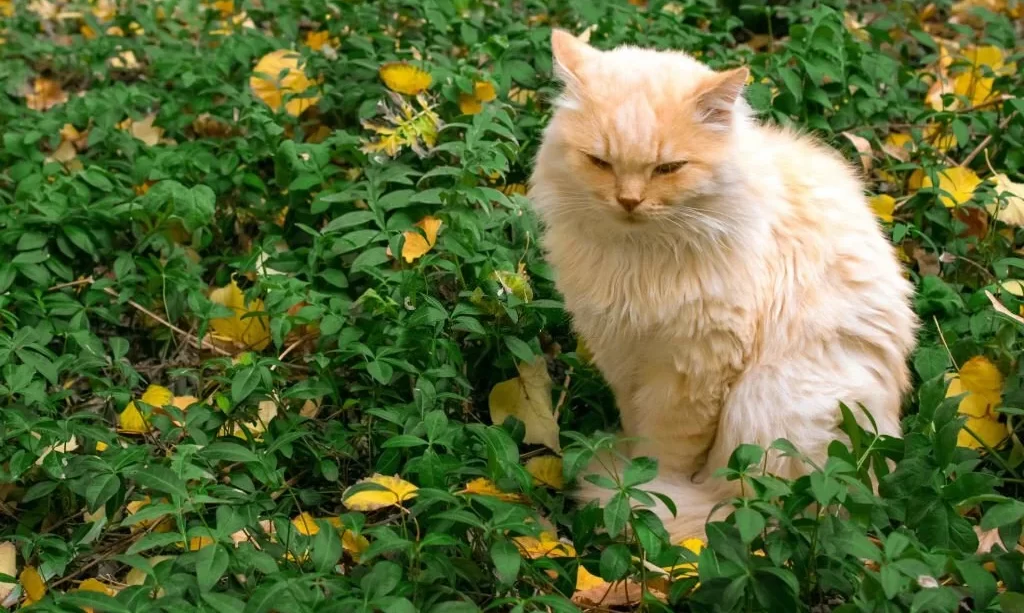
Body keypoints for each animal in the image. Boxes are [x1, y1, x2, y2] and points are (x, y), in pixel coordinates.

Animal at [532, 31, 917, 540]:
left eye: (668, 168)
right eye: (600, 162)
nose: (629, 201)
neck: (639, 257)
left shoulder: (693, 369)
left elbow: (665, 453)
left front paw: (646, 490)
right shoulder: (623, 353)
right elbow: (636, 425)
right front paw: (634, 474)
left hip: (764, 401)